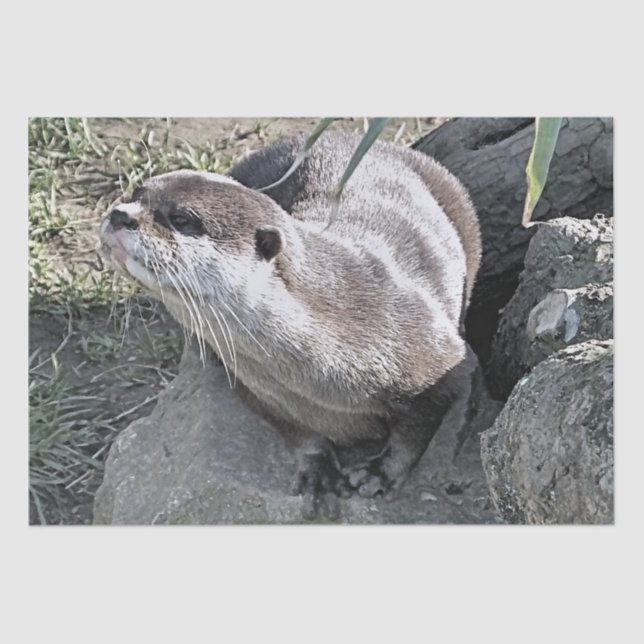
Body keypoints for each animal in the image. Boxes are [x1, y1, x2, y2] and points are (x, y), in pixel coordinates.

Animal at [98, 132, 481, 519]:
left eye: (180, 218)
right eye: (136, 192)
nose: (120, 214)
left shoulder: (439, 358)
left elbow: (419, 427)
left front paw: (380, 473)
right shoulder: (259, 389)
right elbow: (295, 430)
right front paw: (318, 470)